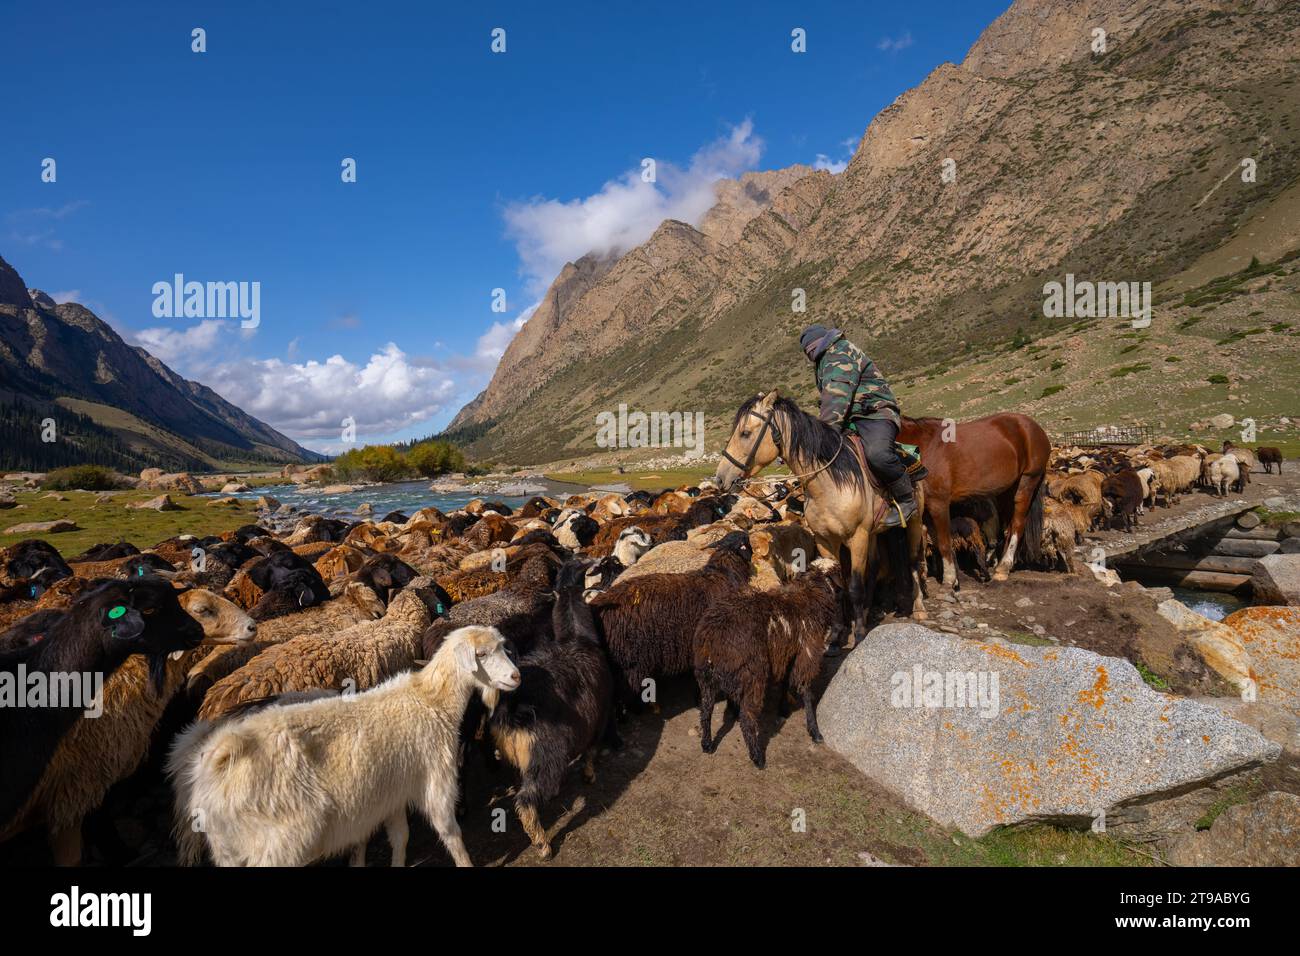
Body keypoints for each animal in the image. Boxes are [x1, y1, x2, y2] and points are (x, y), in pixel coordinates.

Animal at [166, 624, 517, 868]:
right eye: (482, 654)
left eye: (502, 648)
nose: (516, 676)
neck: (431, 700)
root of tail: (218, 758)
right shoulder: (436, 778)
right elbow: (451, 833)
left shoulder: (393, 792)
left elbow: (400, 838)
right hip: (279, 843)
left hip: (228, 847)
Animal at [712, 390, 925, 650]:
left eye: (745, 433)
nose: (720, 478)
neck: (830, 483)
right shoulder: (825, 541)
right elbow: (836, 586)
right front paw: (835, 635)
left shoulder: (857, 538)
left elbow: (854, 587)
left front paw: (859, 636)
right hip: (874, 533)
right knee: (874, 568)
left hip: (913, 523)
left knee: (913, 561)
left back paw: (918, 608)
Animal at [899, 413, 1050, 587]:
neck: (921, 446)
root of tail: (1033, 427)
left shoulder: (939, 503)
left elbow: (943, 543)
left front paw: (950, 579)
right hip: (1007, 491)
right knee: (1010, 525)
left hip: (1027, 482)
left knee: (1018, 524)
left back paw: (1003, 567)